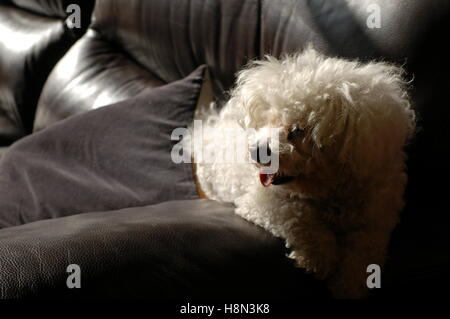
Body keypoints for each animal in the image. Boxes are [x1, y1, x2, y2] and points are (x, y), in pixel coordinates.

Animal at [186, 47, 414, 300]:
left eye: (298, 130)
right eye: (267, 119)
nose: (256, 152)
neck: (329, 191)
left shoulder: (377, 216)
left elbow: (364, 251)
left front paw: (348, 286)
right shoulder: (262, 201)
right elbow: (298, 215)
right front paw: (320, 256)